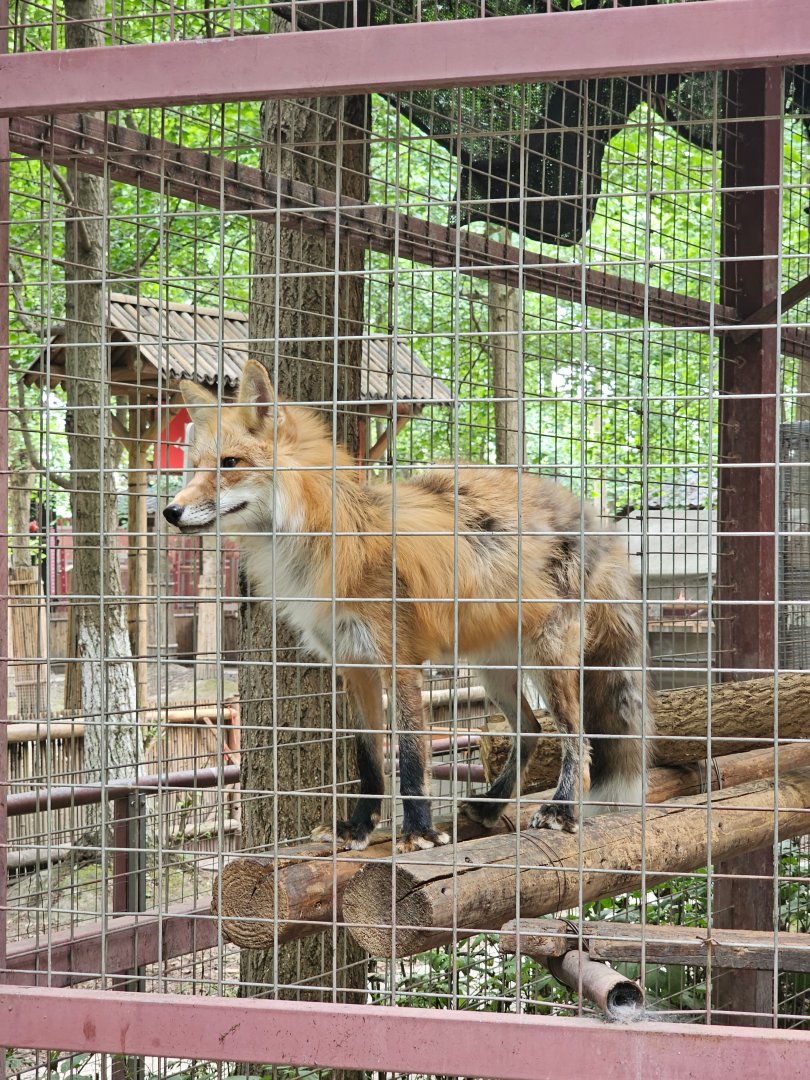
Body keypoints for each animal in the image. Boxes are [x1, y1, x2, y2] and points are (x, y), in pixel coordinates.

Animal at [164, 359, 652, 853]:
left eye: (230, 465)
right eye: (194, 469)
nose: (170, 511)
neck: (328, 538)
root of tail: (589, 515)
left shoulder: (399, 660)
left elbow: (413, 754)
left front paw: (418, 831)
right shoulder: (354, 664)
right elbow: (368, 758)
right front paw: (357, 826)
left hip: (549, 659)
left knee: (579, 739)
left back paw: (561, 809)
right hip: (493, 666)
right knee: (530, 730)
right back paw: (492, 804)